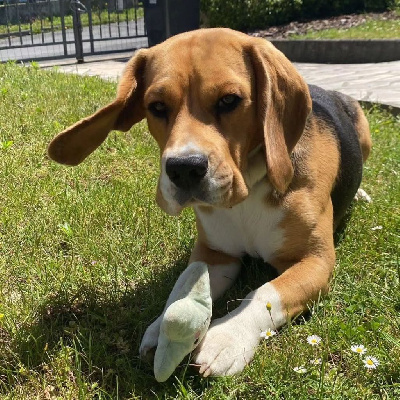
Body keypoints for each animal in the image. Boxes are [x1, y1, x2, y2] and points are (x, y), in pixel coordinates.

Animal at [47, 28, 372, 378]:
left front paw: (226, 337)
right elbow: (181, 287)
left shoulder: (315, 260)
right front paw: (162, 329)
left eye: (229, 101)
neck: (245, 195)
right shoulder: (215, 254)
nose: (183, 169)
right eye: (157, 106)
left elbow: (265, 294)